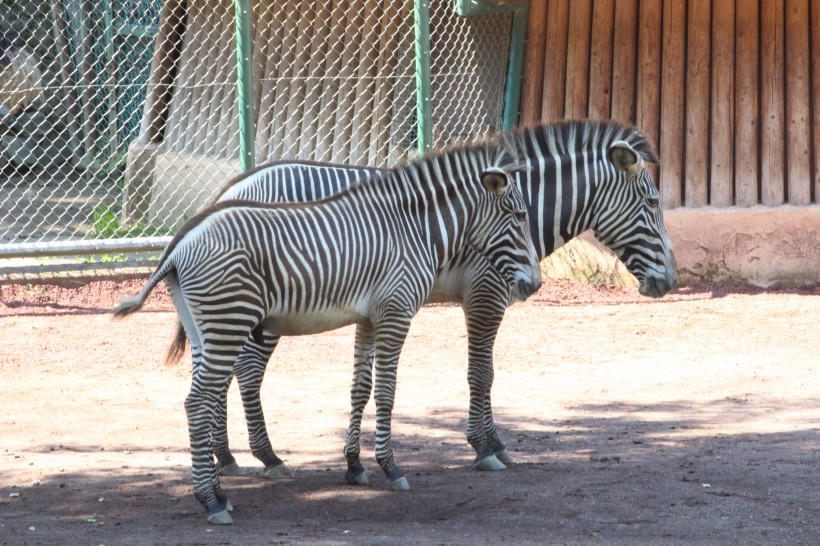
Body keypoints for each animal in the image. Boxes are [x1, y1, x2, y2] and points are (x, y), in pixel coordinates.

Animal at [112, 137, 540, 524]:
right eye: (519, 215)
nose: (534, 285)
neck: (413, 229)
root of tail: (180, 241)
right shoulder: (397, 312)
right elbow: (387, 393)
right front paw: (391, 467)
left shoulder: (369, 319)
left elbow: (360, 389)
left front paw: (356, 466)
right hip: (230, 320)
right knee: (199, 401)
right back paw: (211, 501)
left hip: (205, 328)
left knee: (205, 397)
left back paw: (221, 493)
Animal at [194, 120, 680, 484]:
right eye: (653, 201)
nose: (670, 281)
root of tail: (232, 187)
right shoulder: (486, 294)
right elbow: (481, 373)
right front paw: (484, 448)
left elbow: (486, 373)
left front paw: (494, 443)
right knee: (245, 371)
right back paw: (265, 457)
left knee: (225, 371)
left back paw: (226, 456)